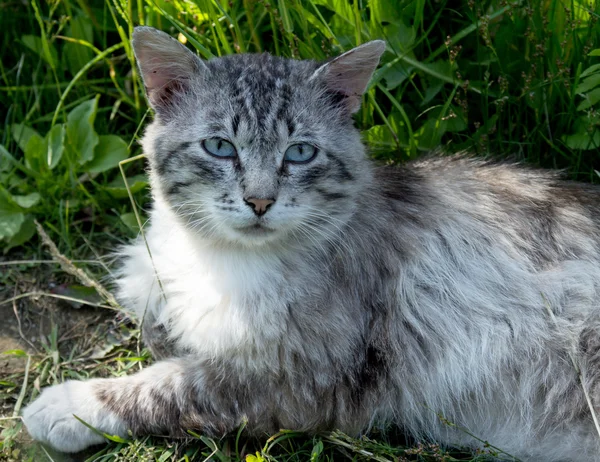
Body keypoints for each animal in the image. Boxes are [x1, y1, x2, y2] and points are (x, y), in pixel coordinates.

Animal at [25, 26, 600, 462]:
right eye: (220, 147)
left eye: (299, 153)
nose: (259, 201)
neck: (219, 260)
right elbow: (162, 332)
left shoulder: (305, 378)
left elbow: (171, 385)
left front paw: (68, 405)